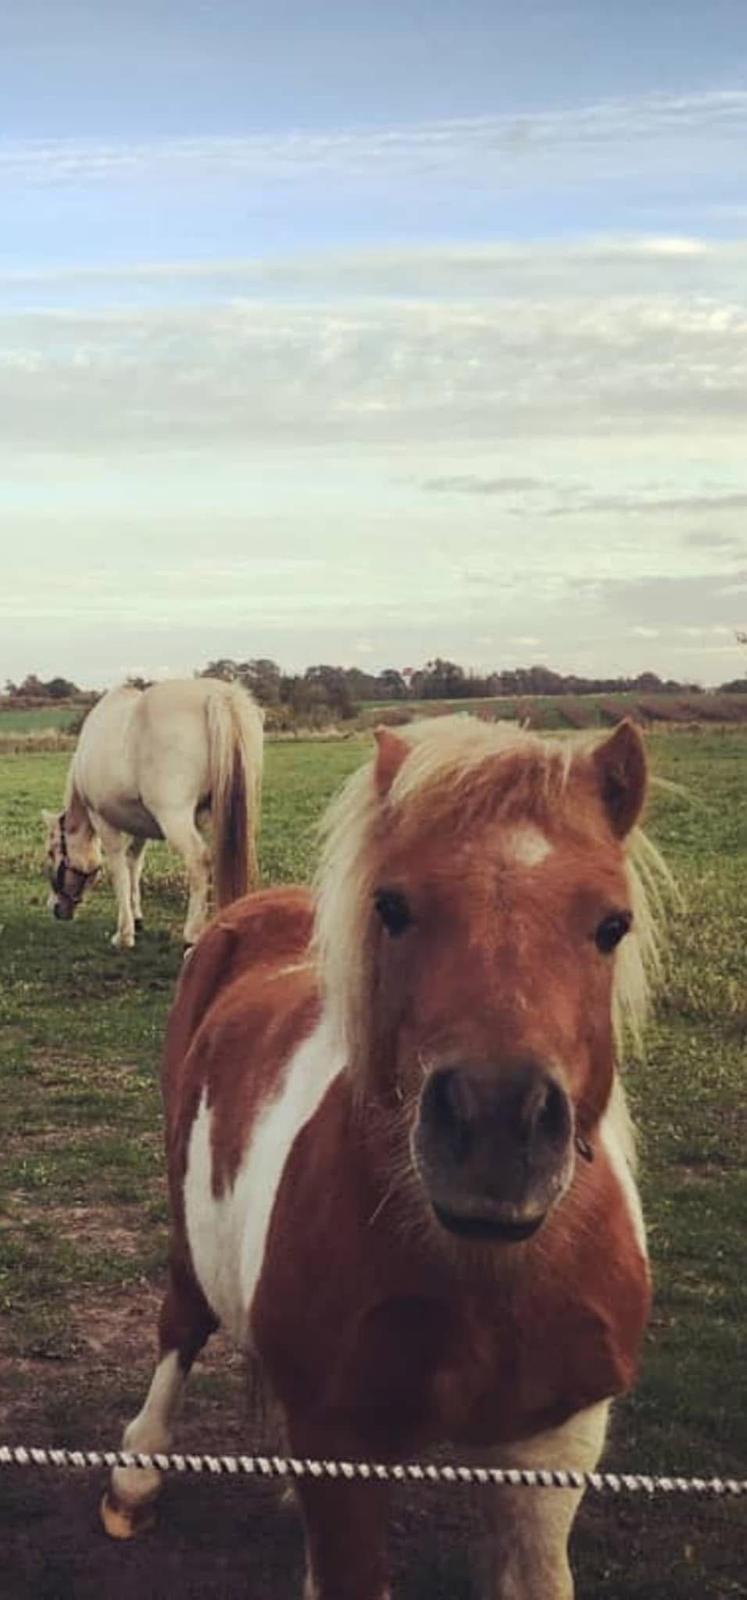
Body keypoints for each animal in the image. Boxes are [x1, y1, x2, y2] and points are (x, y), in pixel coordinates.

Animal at [43, 678, 263, 947]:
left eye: (52, 852)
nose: (56, 907)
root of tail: (220, 695)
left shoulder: (103, 821)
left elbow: (118, 871)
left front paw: (124, 933)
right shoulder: (141, 826)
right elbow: (134, 865)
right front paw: (137, 918)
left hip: (174, 817)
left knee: (199, 860)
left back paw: (191, 935)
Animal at [100, 720, 665, 1593]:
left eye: (613, 924)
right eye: (392, 907)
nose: (494, 1131)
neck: (478, 1276)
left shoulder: (554, 1443)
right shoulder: (341, 1447)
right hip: (186, 1226)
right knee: (181, 1323)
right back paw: (136, 1475)